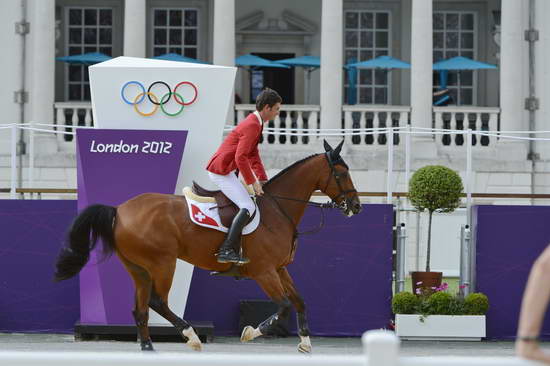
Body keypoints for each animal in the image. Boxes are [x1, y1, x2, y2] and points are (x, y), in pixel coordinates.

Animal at [54, 139, 364, 352]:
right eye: (342, 174)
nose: (356, 206)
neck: (279, 209)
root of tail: (119, 209)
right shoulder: (264, 272)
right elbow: (285, 306)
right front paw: (252, 332)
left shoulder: (280, 269)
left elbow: (300, 301)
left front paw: (306, 343)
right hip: (163, 263)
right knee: (157, 302)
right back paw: (190, 336)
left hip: (138, 268)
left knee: (140, 309)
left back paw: (148, 347)